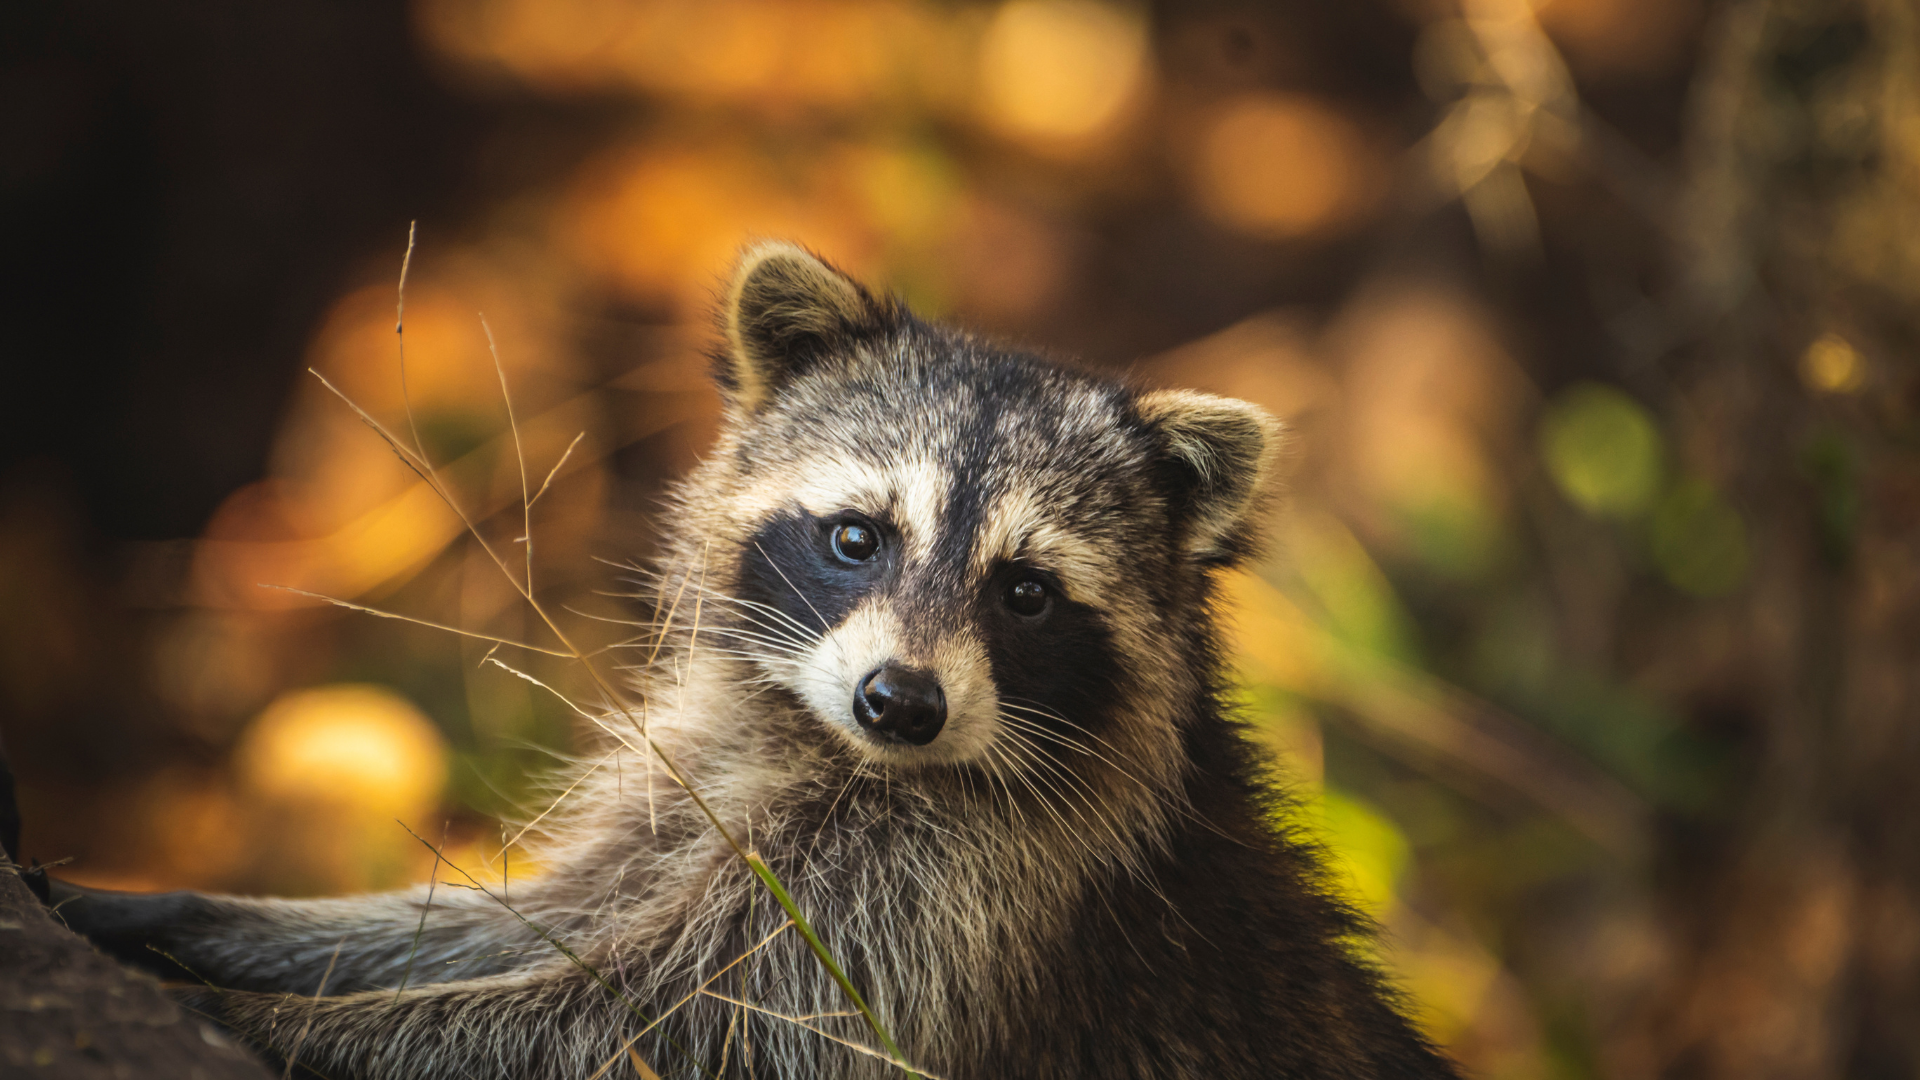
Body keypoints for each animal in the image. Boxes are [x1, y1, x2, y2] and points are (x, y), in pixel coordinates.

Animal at [55, 243, 1458, 1080]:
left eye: (1025, 593)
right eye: (856, 536)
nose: (901, 703)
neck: (828, 746)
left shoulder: (967, 897)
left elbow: (648, 1025)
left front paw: (273, 1022)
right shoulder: (701, 785)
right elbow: (524, 926)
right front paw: (191, 922)